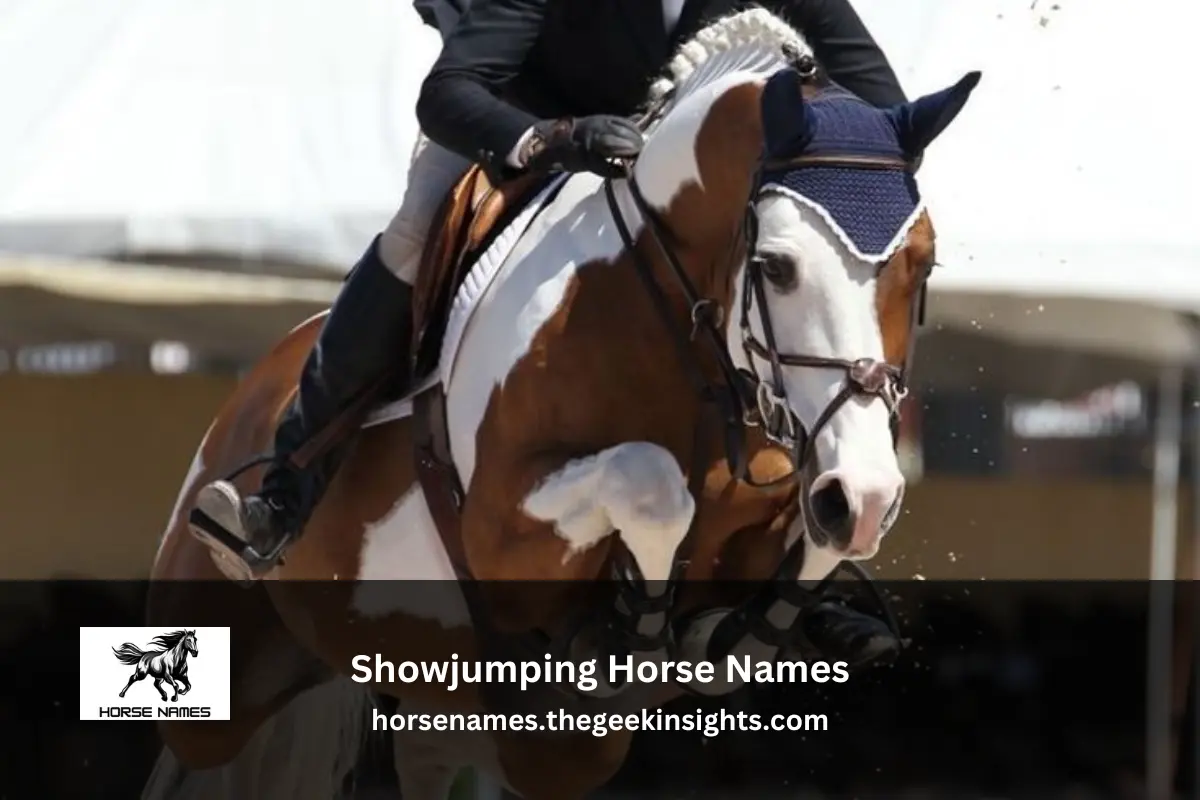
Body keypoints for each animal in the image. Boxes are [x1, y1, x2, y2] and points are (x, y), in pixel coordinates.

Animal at [145, 8, 978, 800]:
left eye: (924, 264)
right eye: (776, 266)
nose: (862, 494)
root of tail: (256, 386)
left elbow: (804, 543)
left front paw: (730, 623)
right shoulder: (499, 528)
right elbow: (650, 480)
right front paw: (631, 627)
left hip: (524, 734)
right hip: (225, 647)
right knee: (195, 743)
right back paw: (257, 513)